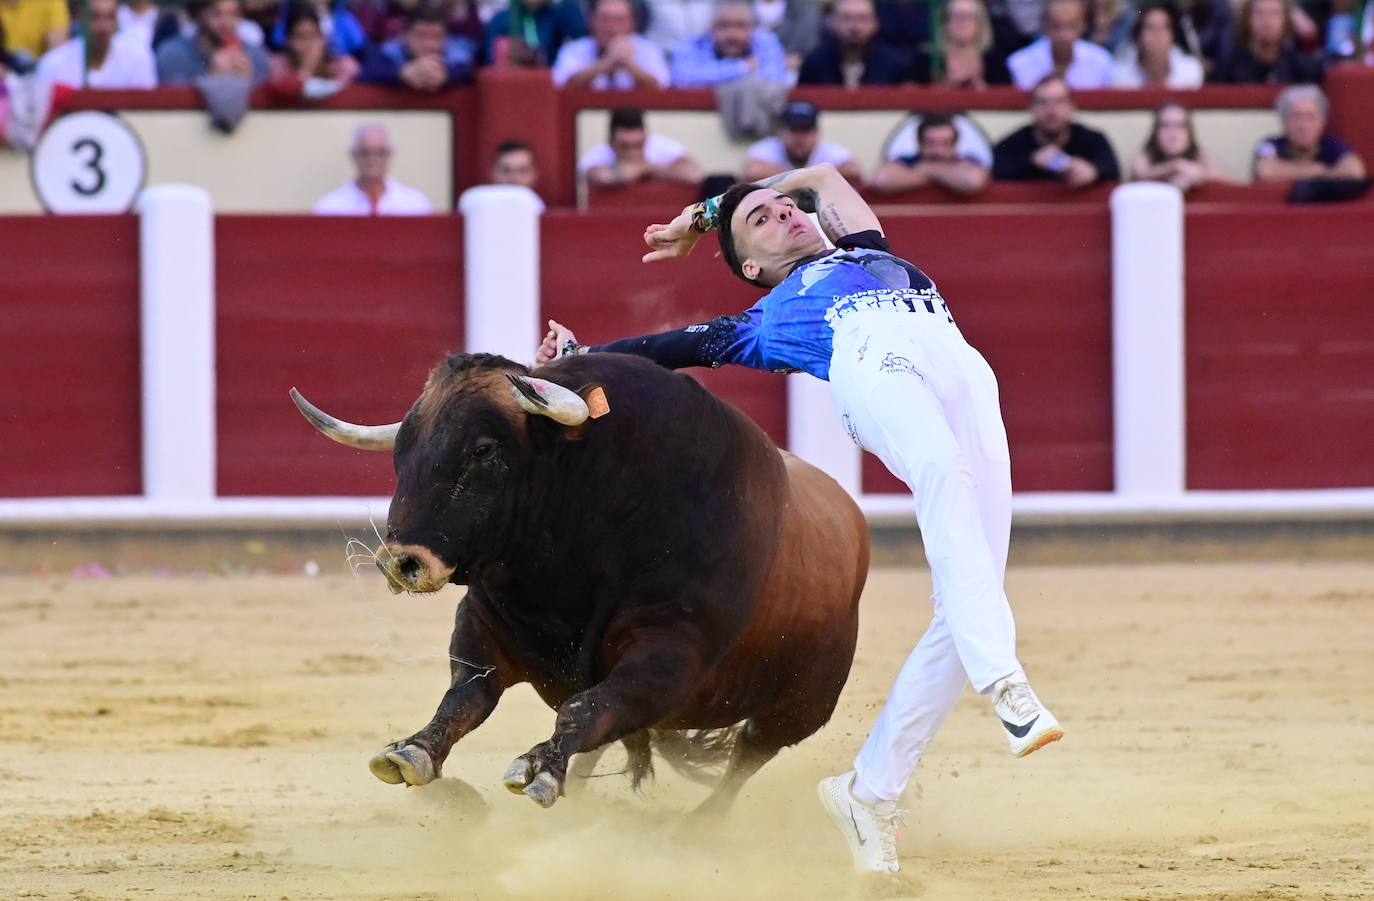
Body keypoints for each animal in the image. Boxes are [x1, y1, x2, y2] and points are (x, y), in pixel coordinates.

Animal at [289, 354, 868, 818]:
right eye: (402, 449)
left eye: (483, 449)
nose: (403, 562)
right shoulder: (485, 624)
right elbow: (466, 696)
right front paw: (411, 751)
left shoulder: (672, 654)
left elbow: (585, 708)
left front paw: (538, 769)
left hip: (804, 705)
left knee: (749, 752)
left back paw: (699, 826)